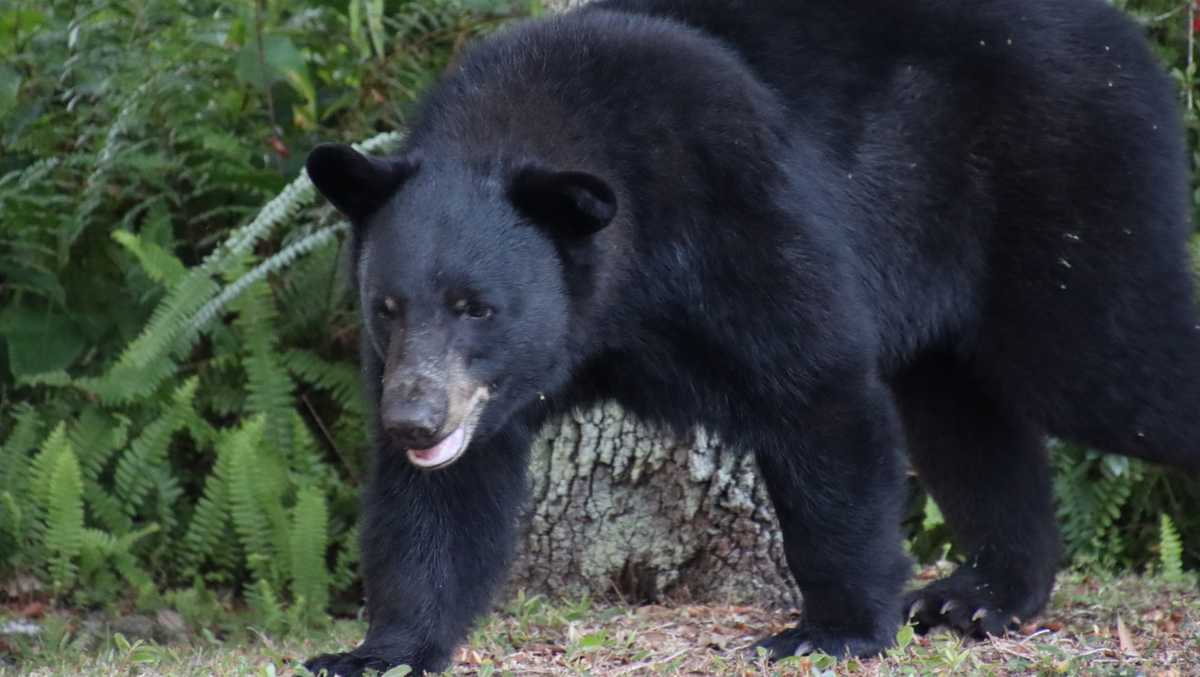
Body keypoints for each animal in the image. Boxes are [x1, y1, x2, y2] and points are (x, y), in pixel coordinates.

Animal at [302, 0, 1200, 674]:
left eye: (477, 304)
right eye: (388, 305)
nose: (413, 419)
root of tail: (1122, 34)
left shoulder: (734, 200)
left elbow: (816, 387)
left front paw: (830, 628)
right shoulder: (466, 390)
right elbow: (442, 496)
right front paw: (377, 649)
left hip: (1063, 182)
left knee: (1111, 362)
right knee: (963, 417)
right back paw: (975, 593)